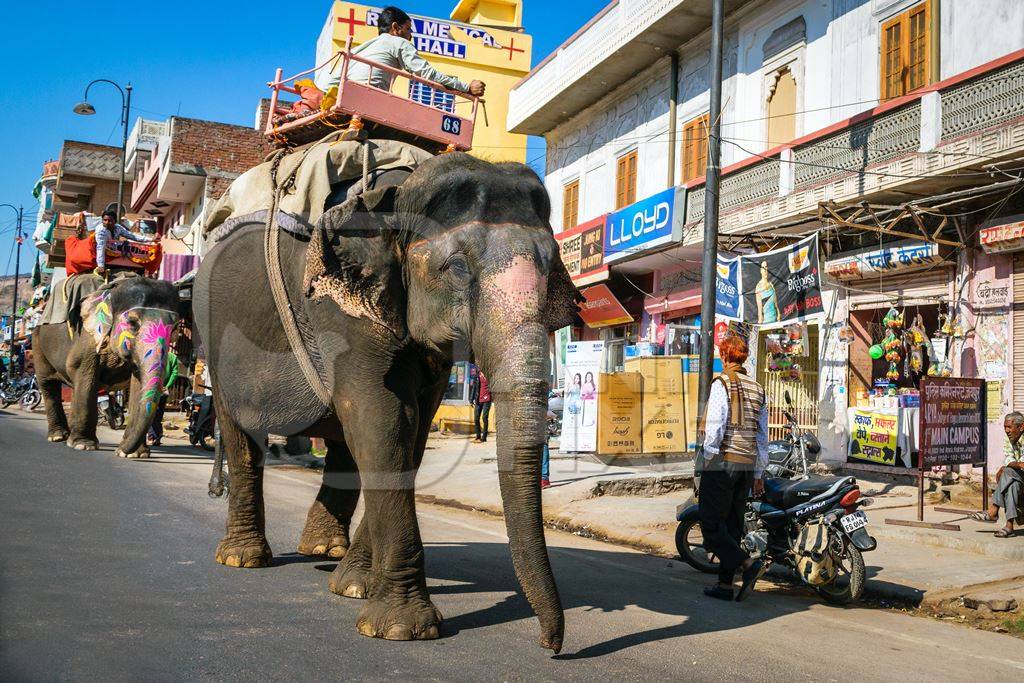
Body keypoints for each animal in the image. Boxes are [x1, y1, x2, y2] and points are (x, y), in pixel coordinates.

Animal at [33, 274, 182, 456]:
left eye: (174, 328)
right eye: (132, 322)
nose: (119, 451)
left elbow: (137, 386)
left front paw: (135, 454)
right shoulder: (88, 338)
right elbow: (84, 376)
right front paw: (83, 445)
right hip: (38, 344)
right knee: (48, 385)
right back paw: (58, 436)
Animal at [195, 152, 581, 655]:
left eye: (552, 266)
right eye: (457, 268)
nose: (551, 646)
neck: (401, 193)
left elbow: (408, 433)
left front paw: (355, 587)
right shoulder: (340, 310)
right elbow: (381, 419)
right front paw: (403, 629)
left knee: (344, 445)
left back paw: (326, 554)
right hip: (214, 339)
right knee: (242, 437)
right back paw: (242, 558)